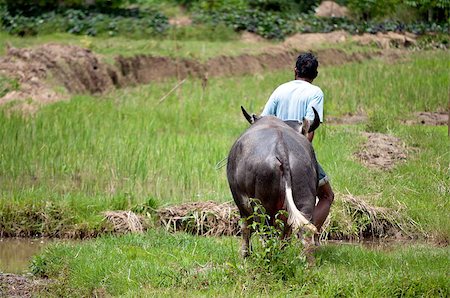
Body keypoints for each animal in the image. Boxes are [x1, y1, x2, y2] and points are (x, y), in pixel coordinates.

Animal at [229, 106, 320, 256]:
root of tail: (281, 148)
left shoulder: (241, 201)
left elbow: (246, 228)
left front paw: (245, 254)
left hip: (262, 206)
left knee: (266, 234)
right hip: (304, 200)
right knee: (303, 233)